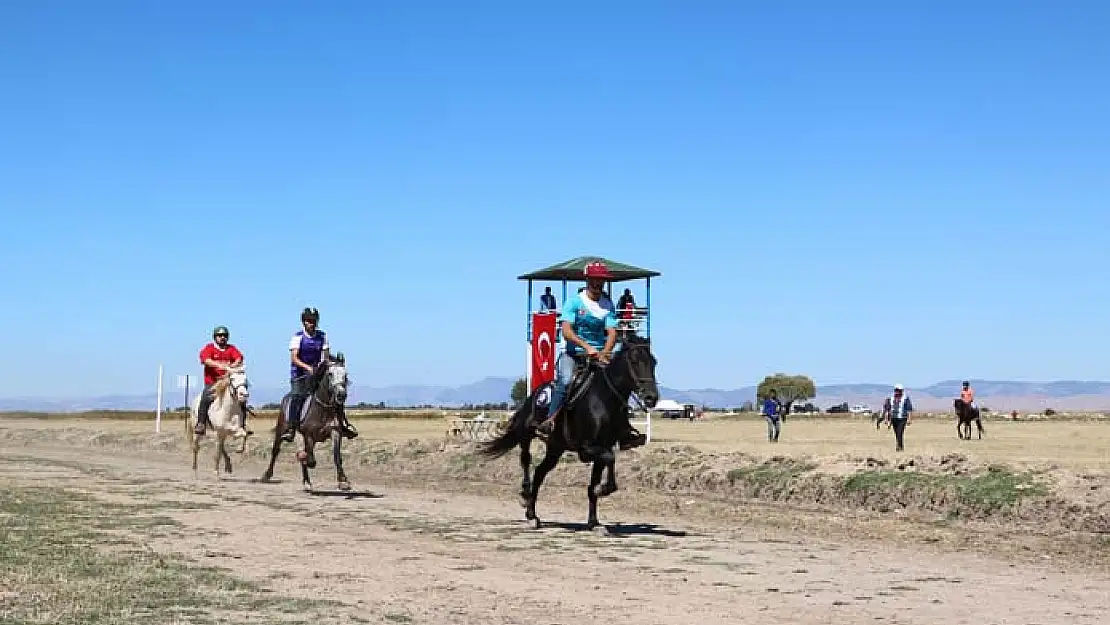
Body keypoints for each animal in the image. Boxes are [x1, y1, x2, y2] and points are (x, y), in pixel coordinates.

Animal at [259, 355, 350, 490]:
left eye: (345, 375)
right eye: (330, 374)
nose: (341, 394)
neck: (322, 409)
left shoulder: (335, 432)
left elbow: (337, 457)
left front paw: (343, 481)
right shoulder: (308, 435)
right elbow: (310, 460)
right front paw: (305, 459)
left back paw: (306, 481)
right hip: (281, 429)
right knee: (275, 451)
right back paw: (267, 475)